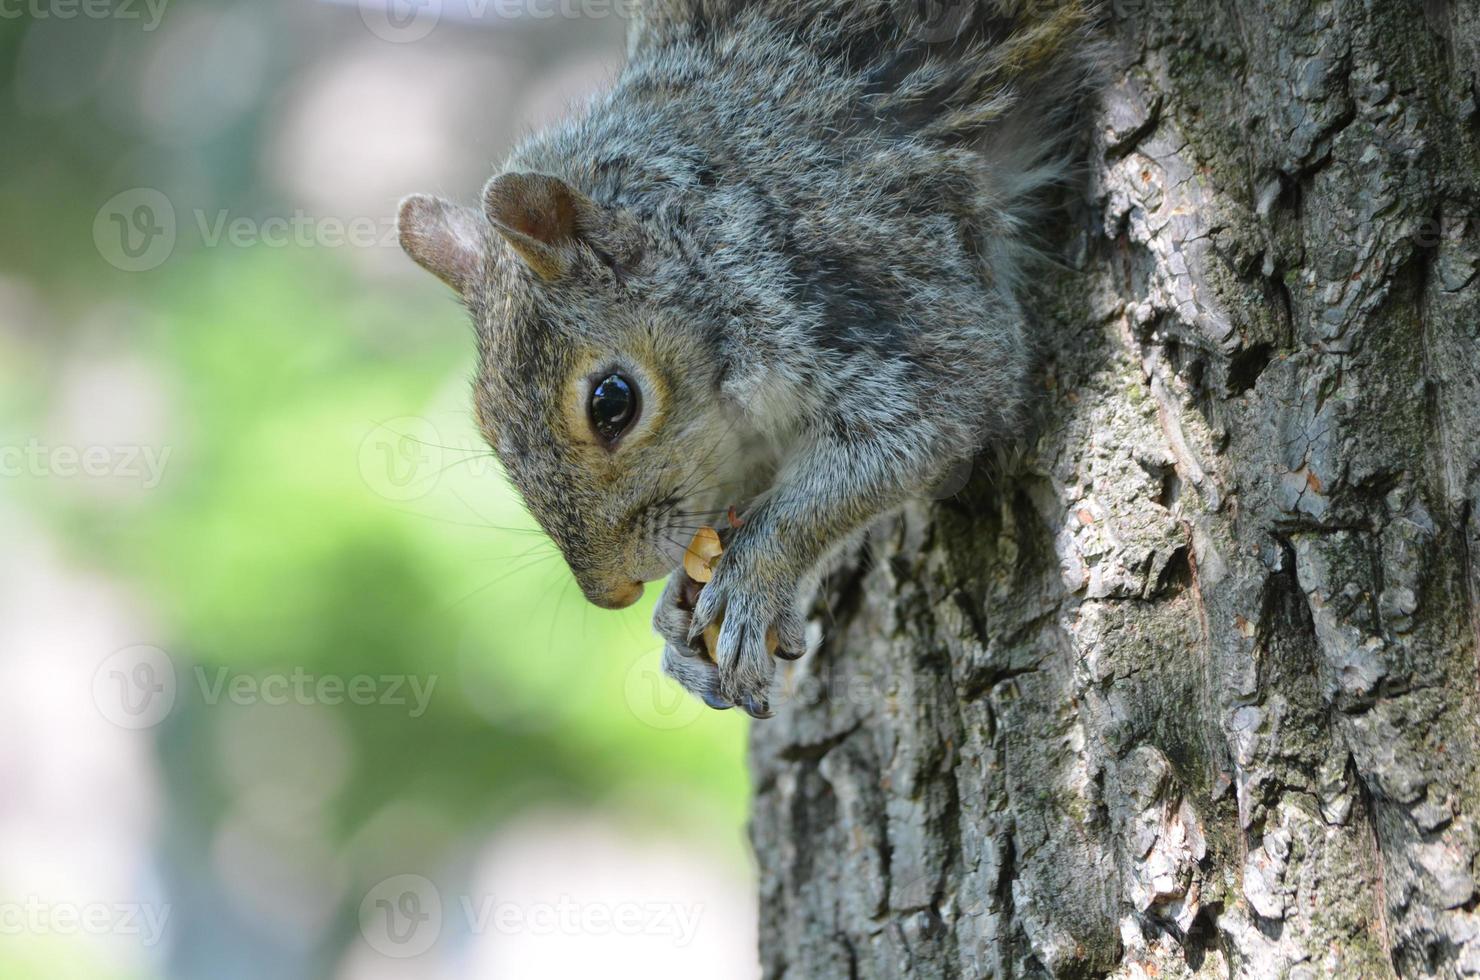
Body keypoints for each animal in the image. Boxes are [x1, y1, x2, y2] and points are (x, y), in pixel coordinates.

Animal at [393, 0, 1101, 722]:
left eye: (613, 403)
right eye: (485, 423)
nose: (613, 594)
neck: (711, 223)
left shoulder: (878, 272)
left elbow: (933, 416)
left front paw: (755, 572)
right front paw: (678, 615)